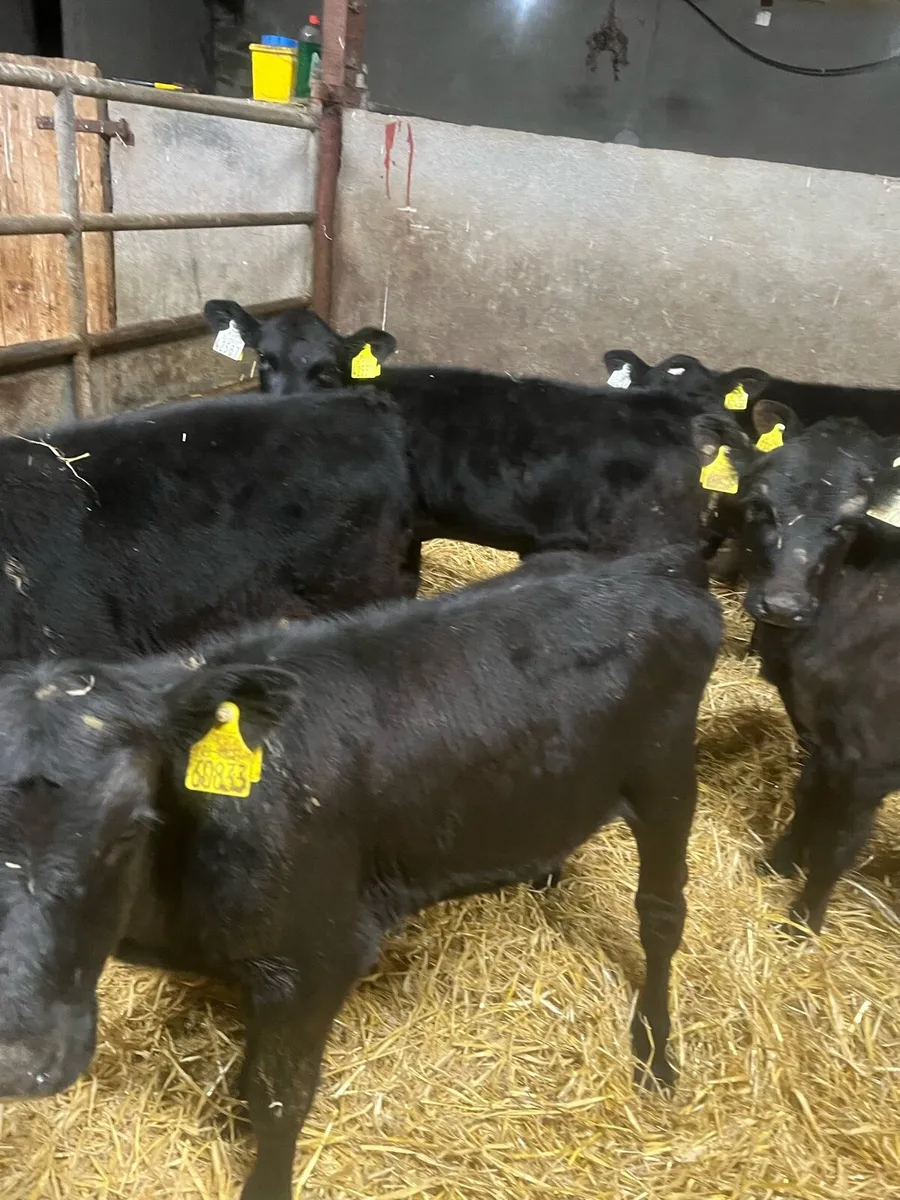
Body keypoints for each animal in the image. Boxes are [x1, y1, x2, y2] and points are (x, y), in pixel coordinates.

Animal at [0, 544, 722, 1200]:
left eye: (130, 825)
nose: (21, 1060)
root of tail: (655, 569)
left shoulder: (323, 951)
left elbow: (281, 1096)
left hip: (666, 777)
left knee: (662, 917)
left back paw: (656, 1053)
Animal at [725, 399, 900, 932]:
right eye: (759, 506)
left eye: (847, 525)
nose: (783, 605)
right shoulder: (819, 738)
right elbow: (807, 796)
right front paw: (777, 863)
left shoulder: (872, 763)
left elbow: (841, 843)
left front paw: (803, 921)